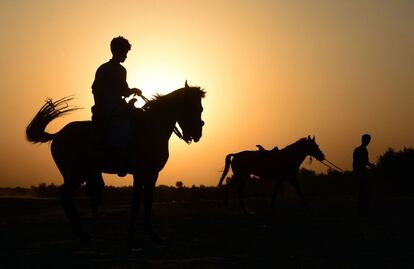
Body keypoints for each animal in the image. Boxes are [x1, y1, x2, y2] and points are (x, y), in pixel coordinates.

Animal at [25, 80, 205, 245]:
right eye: (197, 108)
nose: (197, 134)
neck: (152, 127)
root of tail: (57, 135)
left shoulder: (146, 174)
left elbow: (143, 201)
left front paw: (142, 232)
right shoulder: (144, 173)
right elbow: (140, 202)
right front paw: (140, 233)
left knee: (67, 195)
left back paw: (81, 232)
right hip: (77, 174)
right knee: (65, 194)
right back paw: (81, 232)